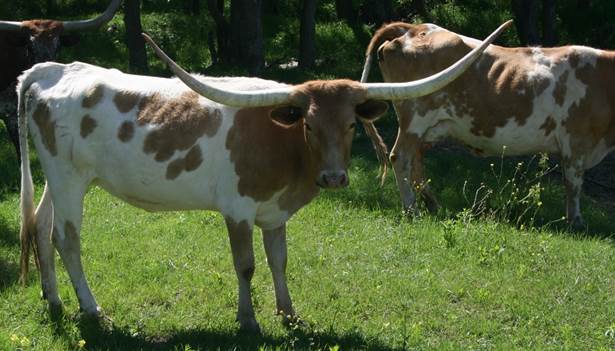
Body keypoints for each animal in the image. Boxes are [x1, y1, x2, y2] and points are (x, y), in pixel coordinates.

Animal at [18, 23, 510, 332]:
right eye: (307, 124)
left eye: (351, 124)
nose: (334, 178)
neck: (283, 144)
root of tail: (52, 70)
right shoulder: (237, 210)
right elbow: (247, 264)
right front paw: (248, 320)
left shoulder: (275, 215)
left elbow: (279, 260)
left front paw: (288, 313)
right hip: (69, 178)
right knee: (66, 238)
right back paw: (92, 309)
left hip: (56, 177)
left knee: (40, 227)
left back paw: (54, 299)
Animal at [360, 23, 615, 230]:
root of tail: (414, 28)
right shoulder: (576, 141)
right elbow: (574, 184)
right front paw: (576, 222)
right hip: (415, 116)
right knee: (401, 157)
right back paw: (412, 209)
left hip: (430, 126)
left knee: (416, 159)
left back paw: (432, 204)